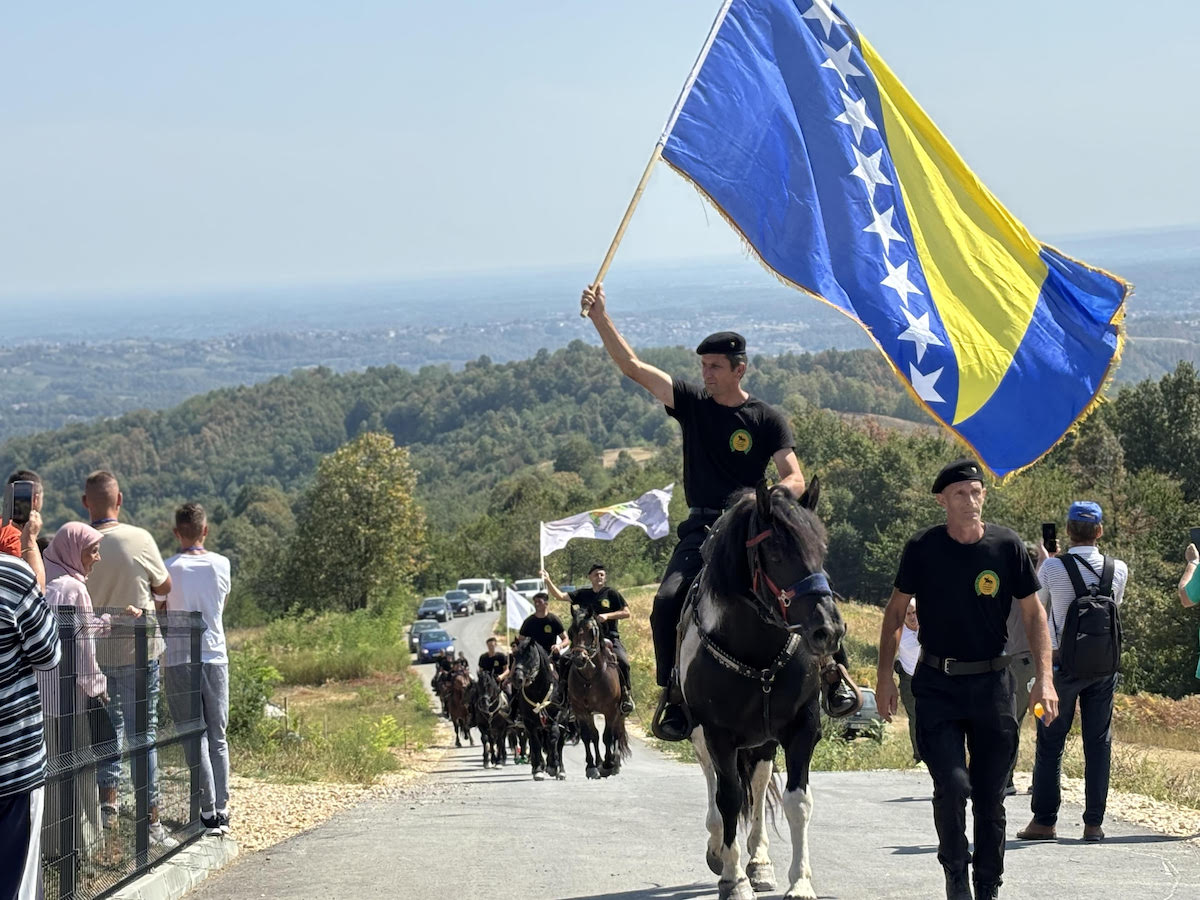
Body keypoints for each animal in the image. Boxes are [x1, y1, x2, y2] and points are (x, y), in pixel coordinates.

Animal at [508, 633, 568, 782]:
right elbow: (535, 743)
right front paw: (539, 770)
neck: (538, 691)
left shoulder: (556, 717)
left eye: (529, 656)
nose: (517, 679)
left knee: (559, 744)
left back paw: (560, 770)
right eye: (515, 655)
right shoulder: (529, 722)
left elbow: (554, 737)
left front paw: (553, 766)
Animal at [568, 609, 633, 777]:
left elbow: (607, 736)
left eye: (592, 632)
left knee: (616, 733)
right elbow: (589, 736)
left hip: (620, 712)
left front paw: (608, 764)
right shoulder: (581, 711)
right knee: (596, 736)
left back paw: (615, 763)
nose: (579, 658)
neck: (590, 678)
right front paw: (592, 765)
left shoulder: (611, 710)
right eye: (571, 632)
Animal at [676, 482, 844, 900]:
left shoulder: (801, 727)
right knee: (715, 786)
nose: (828, 629)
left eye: (822, 549)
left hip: (763, 742)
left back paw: (760, 861)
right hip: (702, 735)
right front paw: (733, 879)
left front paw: (799, 883)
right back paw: (719, 850)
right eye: (777, 552)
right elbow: (728, 798)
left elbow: (797, 801)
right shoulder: (717, 734)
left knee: (759, 781)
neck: (757, 652)